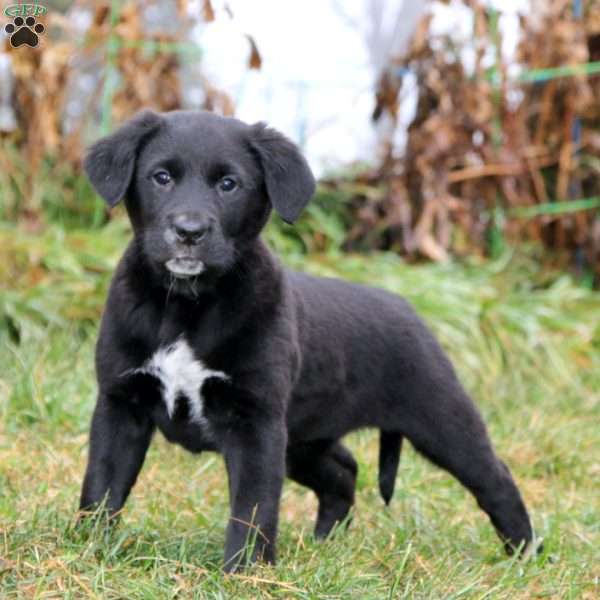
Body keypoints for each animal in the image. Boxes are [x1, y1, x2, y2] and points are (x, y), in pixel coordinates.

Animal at [79, 109, 536, 572]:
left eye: (228, 184)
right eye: (161, 177)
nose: (189, 231)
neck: (186, 306)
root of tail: (405, 306)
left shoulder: (256, 422)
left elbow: (253, 506)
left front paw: (244, 573)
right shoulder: (121, 403)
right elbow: (103, 483)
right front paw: (90, 550)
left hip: (441, 418)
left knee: (495, 477)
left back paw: (523, 554)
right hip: (303, 439)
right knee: (344, 469)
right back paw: (326, 542)